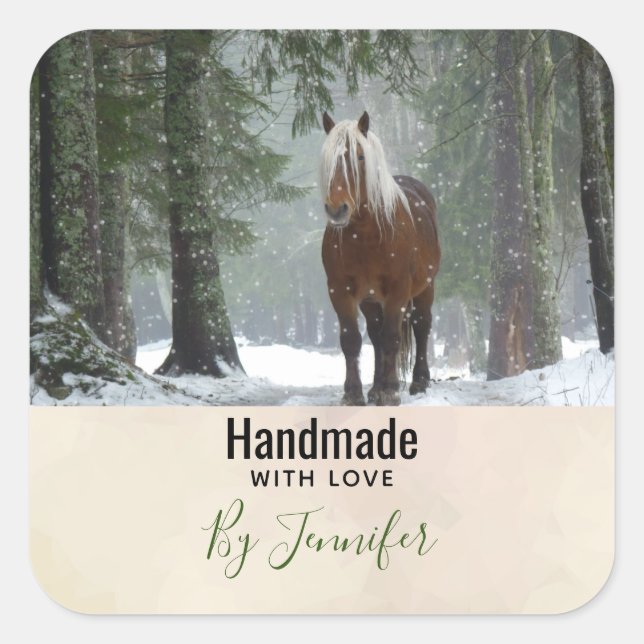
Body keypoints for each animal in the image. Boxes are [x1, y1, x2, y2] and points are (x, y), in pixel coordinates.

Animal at [320, 111, 440, 406]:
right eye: (328, 159)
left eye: (360, 157)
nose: (337, 209)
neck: (366, 236)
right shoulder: (340, 291)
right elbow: (352, 340)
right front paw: (353, 393)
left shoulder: (398, 291)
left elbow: (392, 338)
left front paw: (391, 391)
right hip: (370, 300)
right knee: (375, 335)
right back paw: (374, 387)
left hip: (425, 287)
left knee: (421, 326)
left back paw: (418, 381)